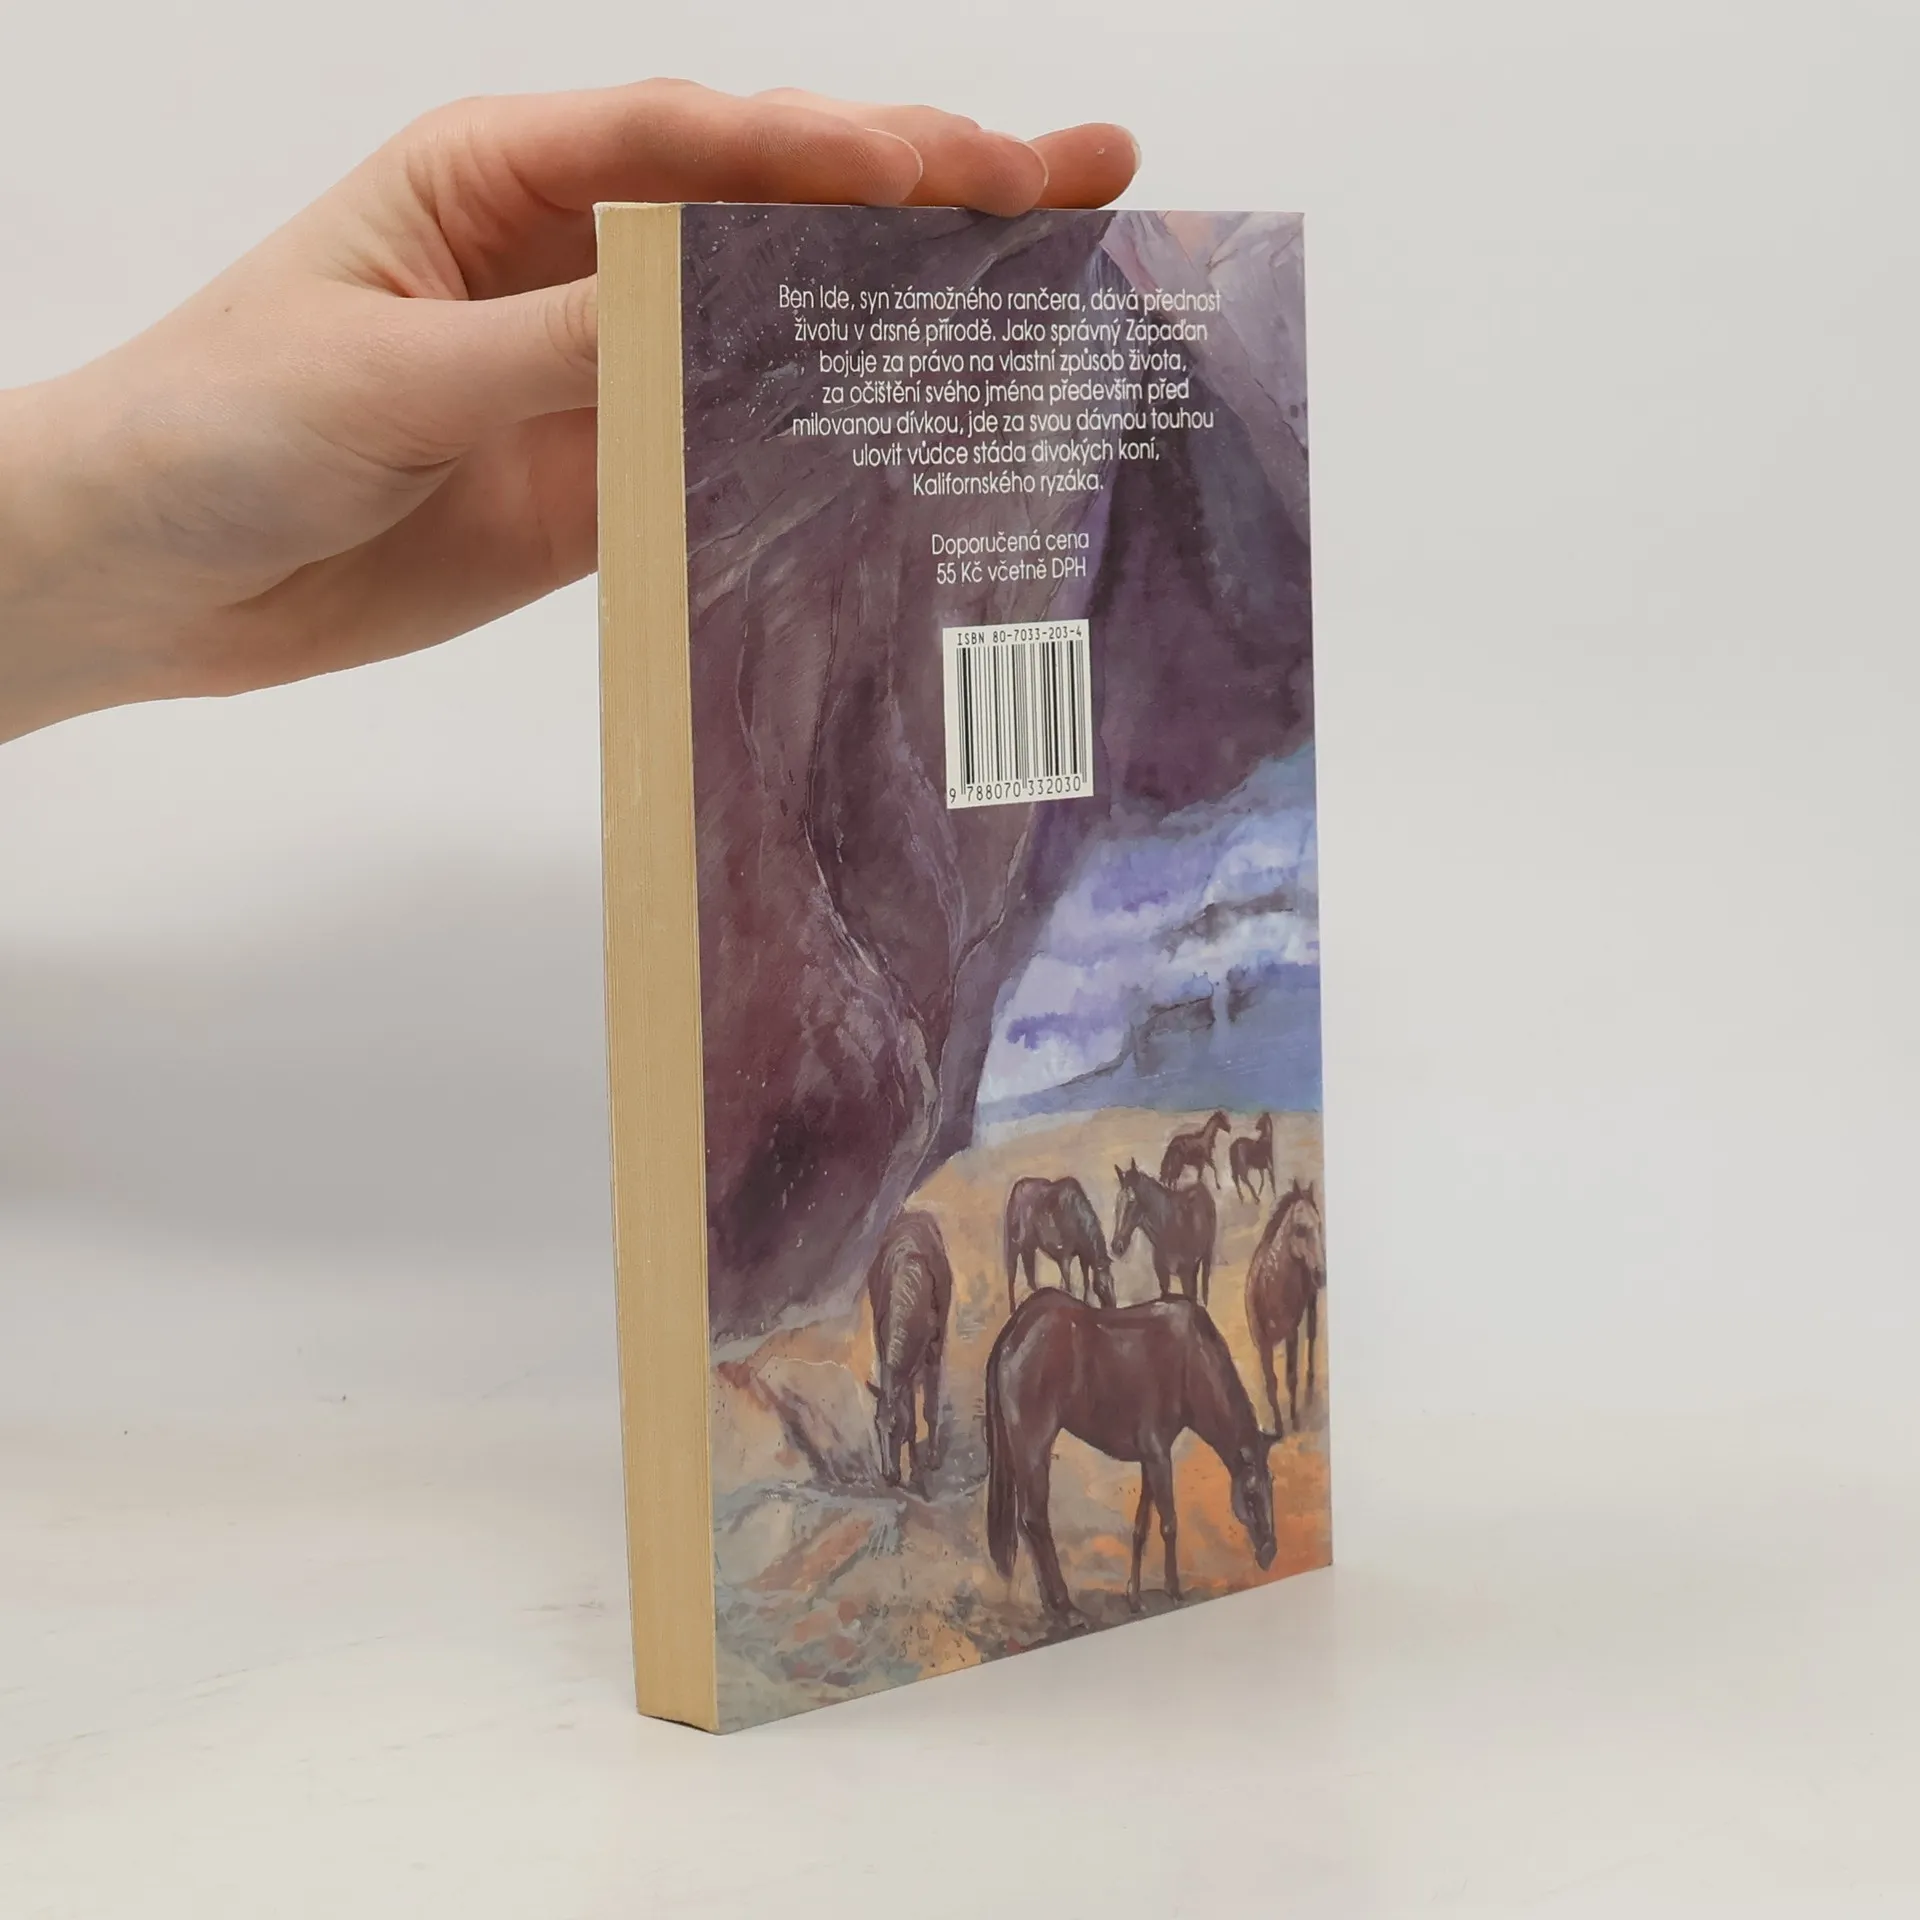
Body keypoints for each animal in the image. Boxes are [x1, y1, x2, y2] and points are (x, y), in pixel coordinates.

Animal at [865, 1210, 953, 1488]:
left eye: (895, 1428)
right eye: (876, 1426)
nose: (889, 1476)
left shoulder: (932, 1353)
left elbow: (929, 1411)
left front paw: (932, 1459)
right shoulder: (894, 1362)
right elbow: (912, 1420)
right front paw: (914, 1469)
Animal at [985, 1288, 1281, 1620]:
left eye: (1272, 1487)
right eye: (1251, 1495)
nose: (1270, 1552)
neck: (1191, 1361)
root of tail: (1014, 1332)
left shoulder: (1150, 1457)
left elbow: (1141, 1527)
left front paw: (1135, 1597)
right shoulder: (1159, 1456)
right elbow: (1169, 1524)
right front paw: (1174, 1590)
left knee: (1025, 1523)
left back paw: (1051, 1606)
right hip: (1034, 1448)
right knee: (1035, 1518)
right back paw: (1067, 1608)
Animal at [1004, 1175, 1115, 1314]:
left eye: (1113, 1282)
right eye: (1103, 1286)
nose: (1113, 1307)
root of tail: (1018, 1186)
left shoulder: (1082, 1256)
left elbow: (1085, 1280)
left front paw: (1087, 1302)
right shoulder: (1065, 1255)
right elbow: (1067, 1284)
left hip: (1029, 1247)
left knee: (1030, 1277)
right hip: (1014, 1244)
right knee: (1011, 1274)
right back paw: (1013, 1309)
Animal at [1112, 1160, 1216, 1306]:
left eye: (1131, 1201)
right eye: (1117, 1203)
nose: (1116, 1246)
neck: (1169, 1229)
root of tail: (1199, 1184)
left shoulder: (1185, 1276)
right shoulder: (1163, 1277)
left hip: (1206, 1255)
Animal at [1244, 1179, 1327, 1437]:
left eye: (1319, 1225)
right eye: (1300, 1228)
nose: (1321, 1274)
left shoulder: (1291, 1335)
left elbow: (1291, 1377)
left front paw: (1295, 1420)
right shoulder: (1261, 1342)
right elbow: (1270, 1382)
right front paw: (1279, 1427)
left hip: (1311, 1304)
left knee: (1312, 1336)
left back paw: (1310, 1381)